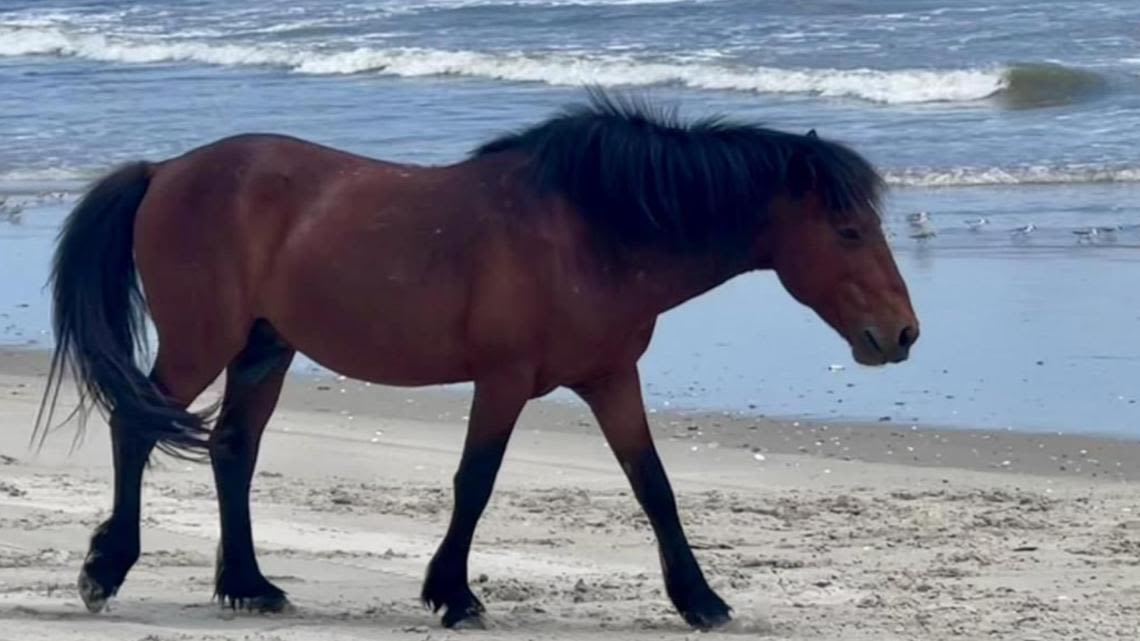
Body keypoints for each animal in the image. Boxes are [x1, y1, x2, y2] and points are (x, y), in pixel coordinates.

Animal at [37, 91, 916, 629]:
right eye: (847, 232)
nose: (902, 334)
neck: (590, 231)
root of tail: (164, 171)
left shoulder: (610, 379)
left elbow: (654, 486)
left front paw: (700, 599)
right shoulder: (503, 381)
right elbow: (476, 481)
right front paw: (454, 594)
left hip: (264, 349)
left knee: (232, 450)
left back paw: (248, 584)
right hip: (202, 344)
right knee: (135, 428)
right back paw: (106, 570)